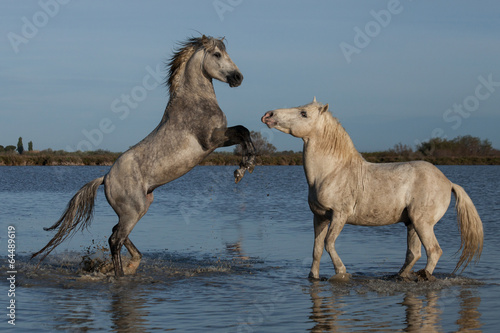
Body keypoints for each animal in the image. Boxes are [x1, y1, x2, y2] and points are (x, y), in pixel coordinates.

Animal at [33, 35, 256, 276]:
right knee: (115, 239)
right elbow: (242, 130)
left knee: (117, 233)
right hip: (133, 211)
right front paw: (244, 168)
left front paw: (245, 166)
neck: (195, 101)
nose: (238, 78)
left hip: (141, 207)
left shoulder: (220, 138)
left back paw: (132, 263)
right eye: (217, 54)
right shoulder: (211, 140)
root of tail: (105, 178)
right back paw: (120, 274)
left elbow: (244, 132)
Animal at [262, 98, 484, 280]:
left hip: (423, 223)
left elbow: (328, 243)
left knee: (434, 251)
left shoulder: (340, 215)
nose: (268, 115)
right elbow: (316, 250)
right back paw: (400, 276)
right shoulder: (319, 217)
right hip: (412, 224)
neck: (331, 172)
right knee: (414, 254)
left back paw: (423, 276)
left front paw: (342, 272)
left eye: (303, 113)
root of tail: (448, 182)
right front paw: (314, 277)